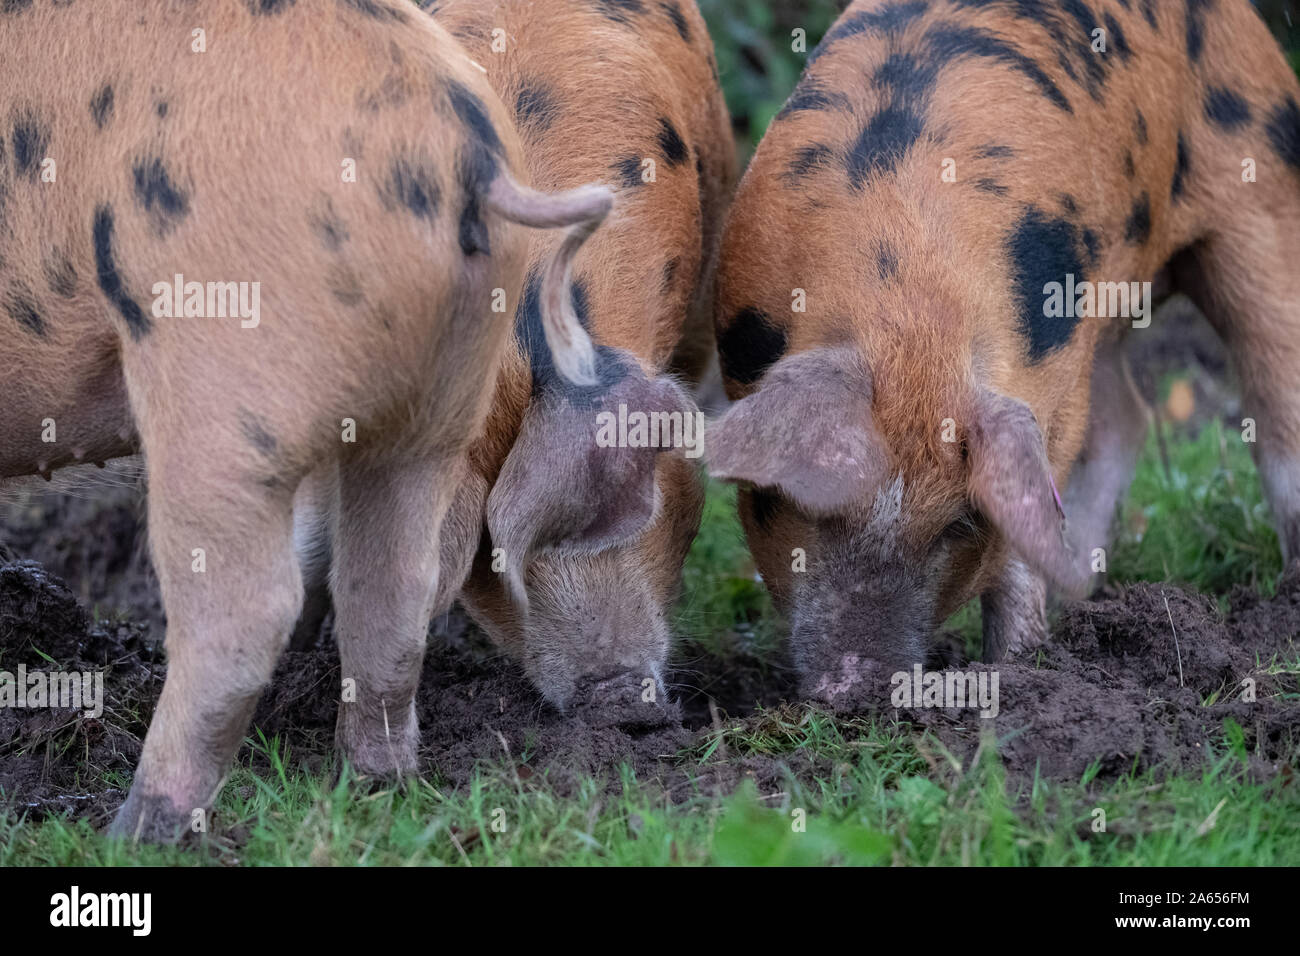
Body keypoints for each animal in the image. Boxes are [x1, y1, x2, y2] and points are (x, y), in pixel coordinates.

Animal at [707, 0, 1300, 707]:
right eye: (808, 507)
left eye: (956, 527)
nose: (856, 687)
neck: (906, 312)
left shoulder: (1047, 389)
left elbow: (1026, 515)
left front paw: (1016, 669)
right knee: (1127, 418)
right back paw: (1082, 600)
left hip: (1263, 195)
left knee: (1274, 390)